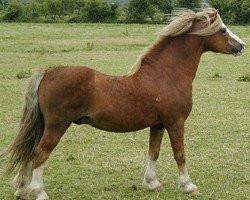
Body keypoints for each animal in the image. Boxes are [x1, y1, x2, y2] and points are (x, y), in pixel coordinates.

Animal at [1, 8, 244, 200]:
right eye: (223, 30)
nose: (241, 46)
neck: (166, 75)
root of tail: (48, 72)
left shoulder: (158, 125)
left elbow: (153, 152)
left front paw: (153, 183)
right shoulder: (176, 123)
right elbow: (179, 154)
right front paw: (188, 186)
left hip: (43, 125)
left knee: (29, 150)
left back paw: (21, 190)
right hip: (57, 125)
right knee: (40, 153)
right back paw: (39, 192)